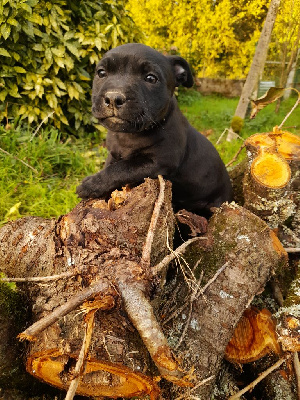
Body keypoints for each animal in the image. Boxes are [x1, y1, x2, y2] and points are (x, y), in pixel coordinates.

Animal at [77, 43, 232, 216]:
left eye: (151, 78)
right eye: (101, 73)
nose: (113, 97)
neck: (129, 135)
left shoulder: (157, 162)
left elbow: (121, 169)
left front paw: (90, 184)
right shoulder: (113, 154)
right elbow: (110, 166)